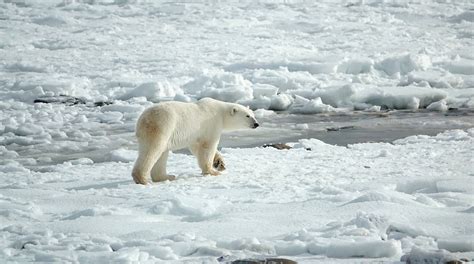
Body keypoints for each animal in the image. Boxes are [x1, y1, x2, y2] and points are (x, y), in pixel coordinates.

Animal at [131, 98, 262, 185]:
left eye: (253, 114)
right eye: (247, 116)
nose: (256, 124)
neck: (221, 113)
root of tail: (143, 119)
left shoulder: (195, 134)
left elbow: (196, 147)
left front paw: (220, 163)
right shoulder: (211, 124)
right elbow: (208, 146)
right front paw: (212, 171)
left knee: (162, 153)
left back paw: (167, 176)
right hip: (162, 126)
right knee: (152, 150)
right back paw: (142, 179)